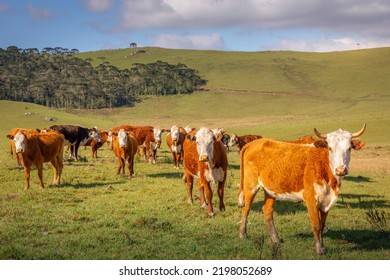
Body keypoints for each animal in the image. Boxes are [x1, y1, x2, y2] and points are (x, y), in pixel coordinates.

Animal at [238, 124, 366, 254]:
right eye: (330, 148)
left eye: (349, 148)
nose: (341, 170)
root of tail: (254, 143)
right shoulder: (311, 198)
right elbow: (316, 224)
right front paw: (319, 249)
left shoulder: (326, 200)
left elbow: (322, 224)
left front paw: (320, 246)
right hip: (250, 185)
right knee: (246, 208)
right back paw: (242, 234)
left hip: (271, 190)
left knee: (267, 210)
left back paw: (275, 239)